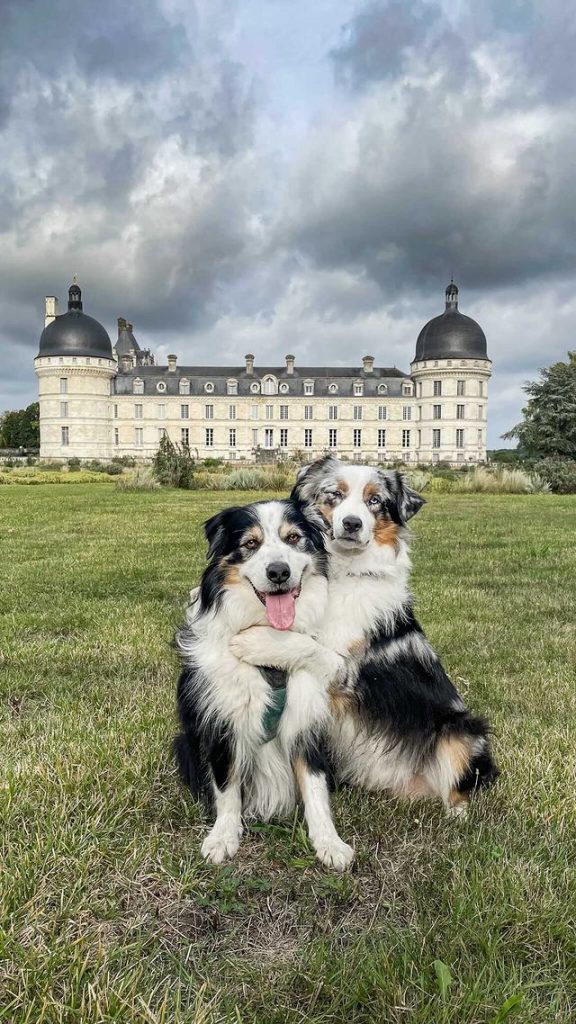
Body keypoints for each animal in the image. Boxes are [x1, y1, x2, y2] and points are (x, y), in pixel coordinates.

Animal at [172, 499, 352, 868]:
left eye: (294, 538)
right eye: (251, 544)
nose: (278, 572)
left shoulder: (306, 720)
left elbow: (315, 788)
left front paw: (329, 842)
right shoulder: (222, 722)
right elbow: (226, 787)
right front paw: (223, 837)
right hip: (182, 742)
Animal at [229, 456, 498, 815]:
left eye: (375, 501)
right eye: (334, 495)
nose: (352, 524)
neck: (339, 573)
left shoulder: (348, 672)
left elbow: (312, 648)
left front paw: (256, 641)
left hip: (463, 730)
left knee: (461, 788)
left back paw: (458, 814)